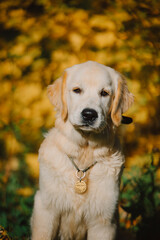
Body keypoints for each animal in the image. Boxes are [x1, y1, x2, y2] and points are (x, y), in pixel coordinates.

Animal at [30, 61, 133, 239]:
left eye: (104, 93)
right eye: (77, 90)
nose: (89, 114)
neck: (84, 153)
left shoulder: (104, 220)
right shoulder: (46, 207)